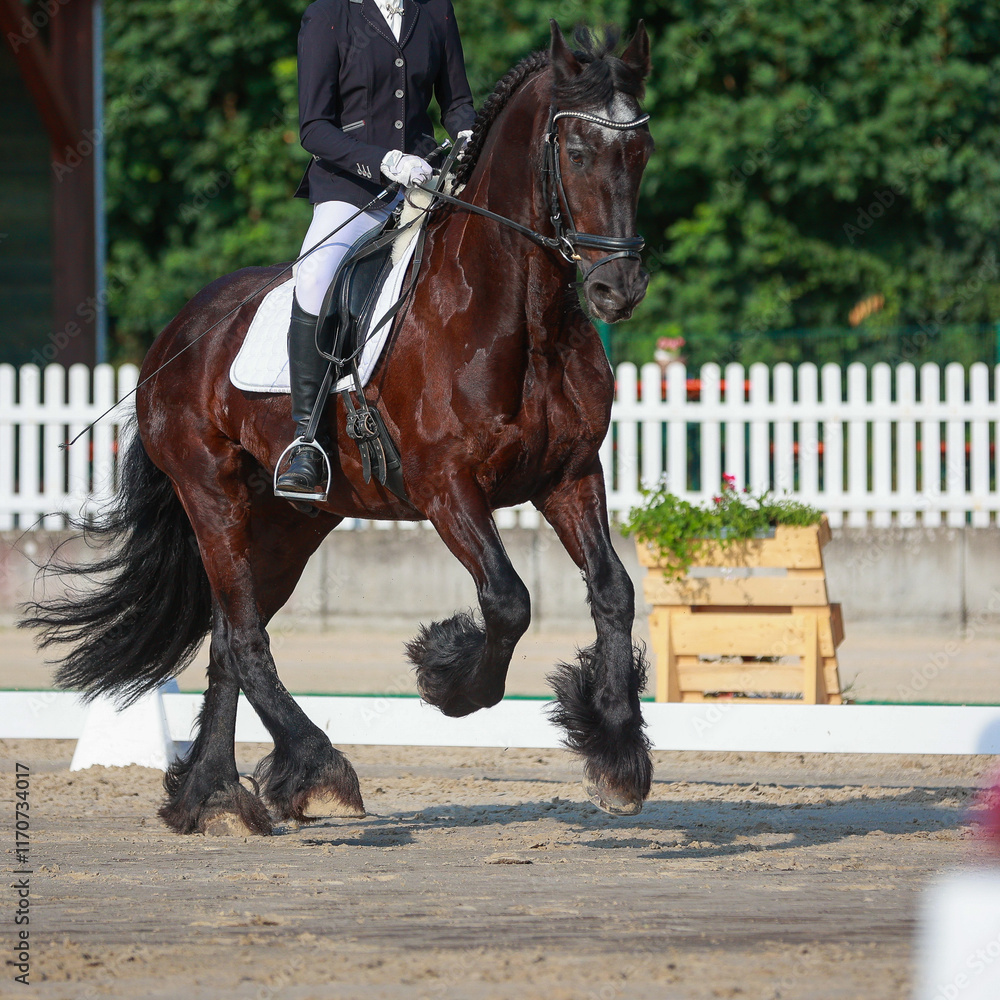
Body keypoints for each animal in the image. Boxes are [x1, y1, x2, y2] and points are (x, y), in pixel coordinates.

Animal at [23, 20, 655, 836]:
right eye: (576, 150)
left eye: (640, 153)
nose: (618, 289)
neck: (523, 313)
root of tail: (175, 339)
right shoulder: (446, 485)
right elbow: (508, 600)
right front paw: (448, 674)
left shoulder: (570, 473)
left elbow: (613, 589)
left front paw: (616, 748)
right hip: (212, 496)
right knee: (246, 637)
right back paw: (314, 769)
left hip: (291, 522)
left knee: (228, 637)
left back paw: (216, 795)